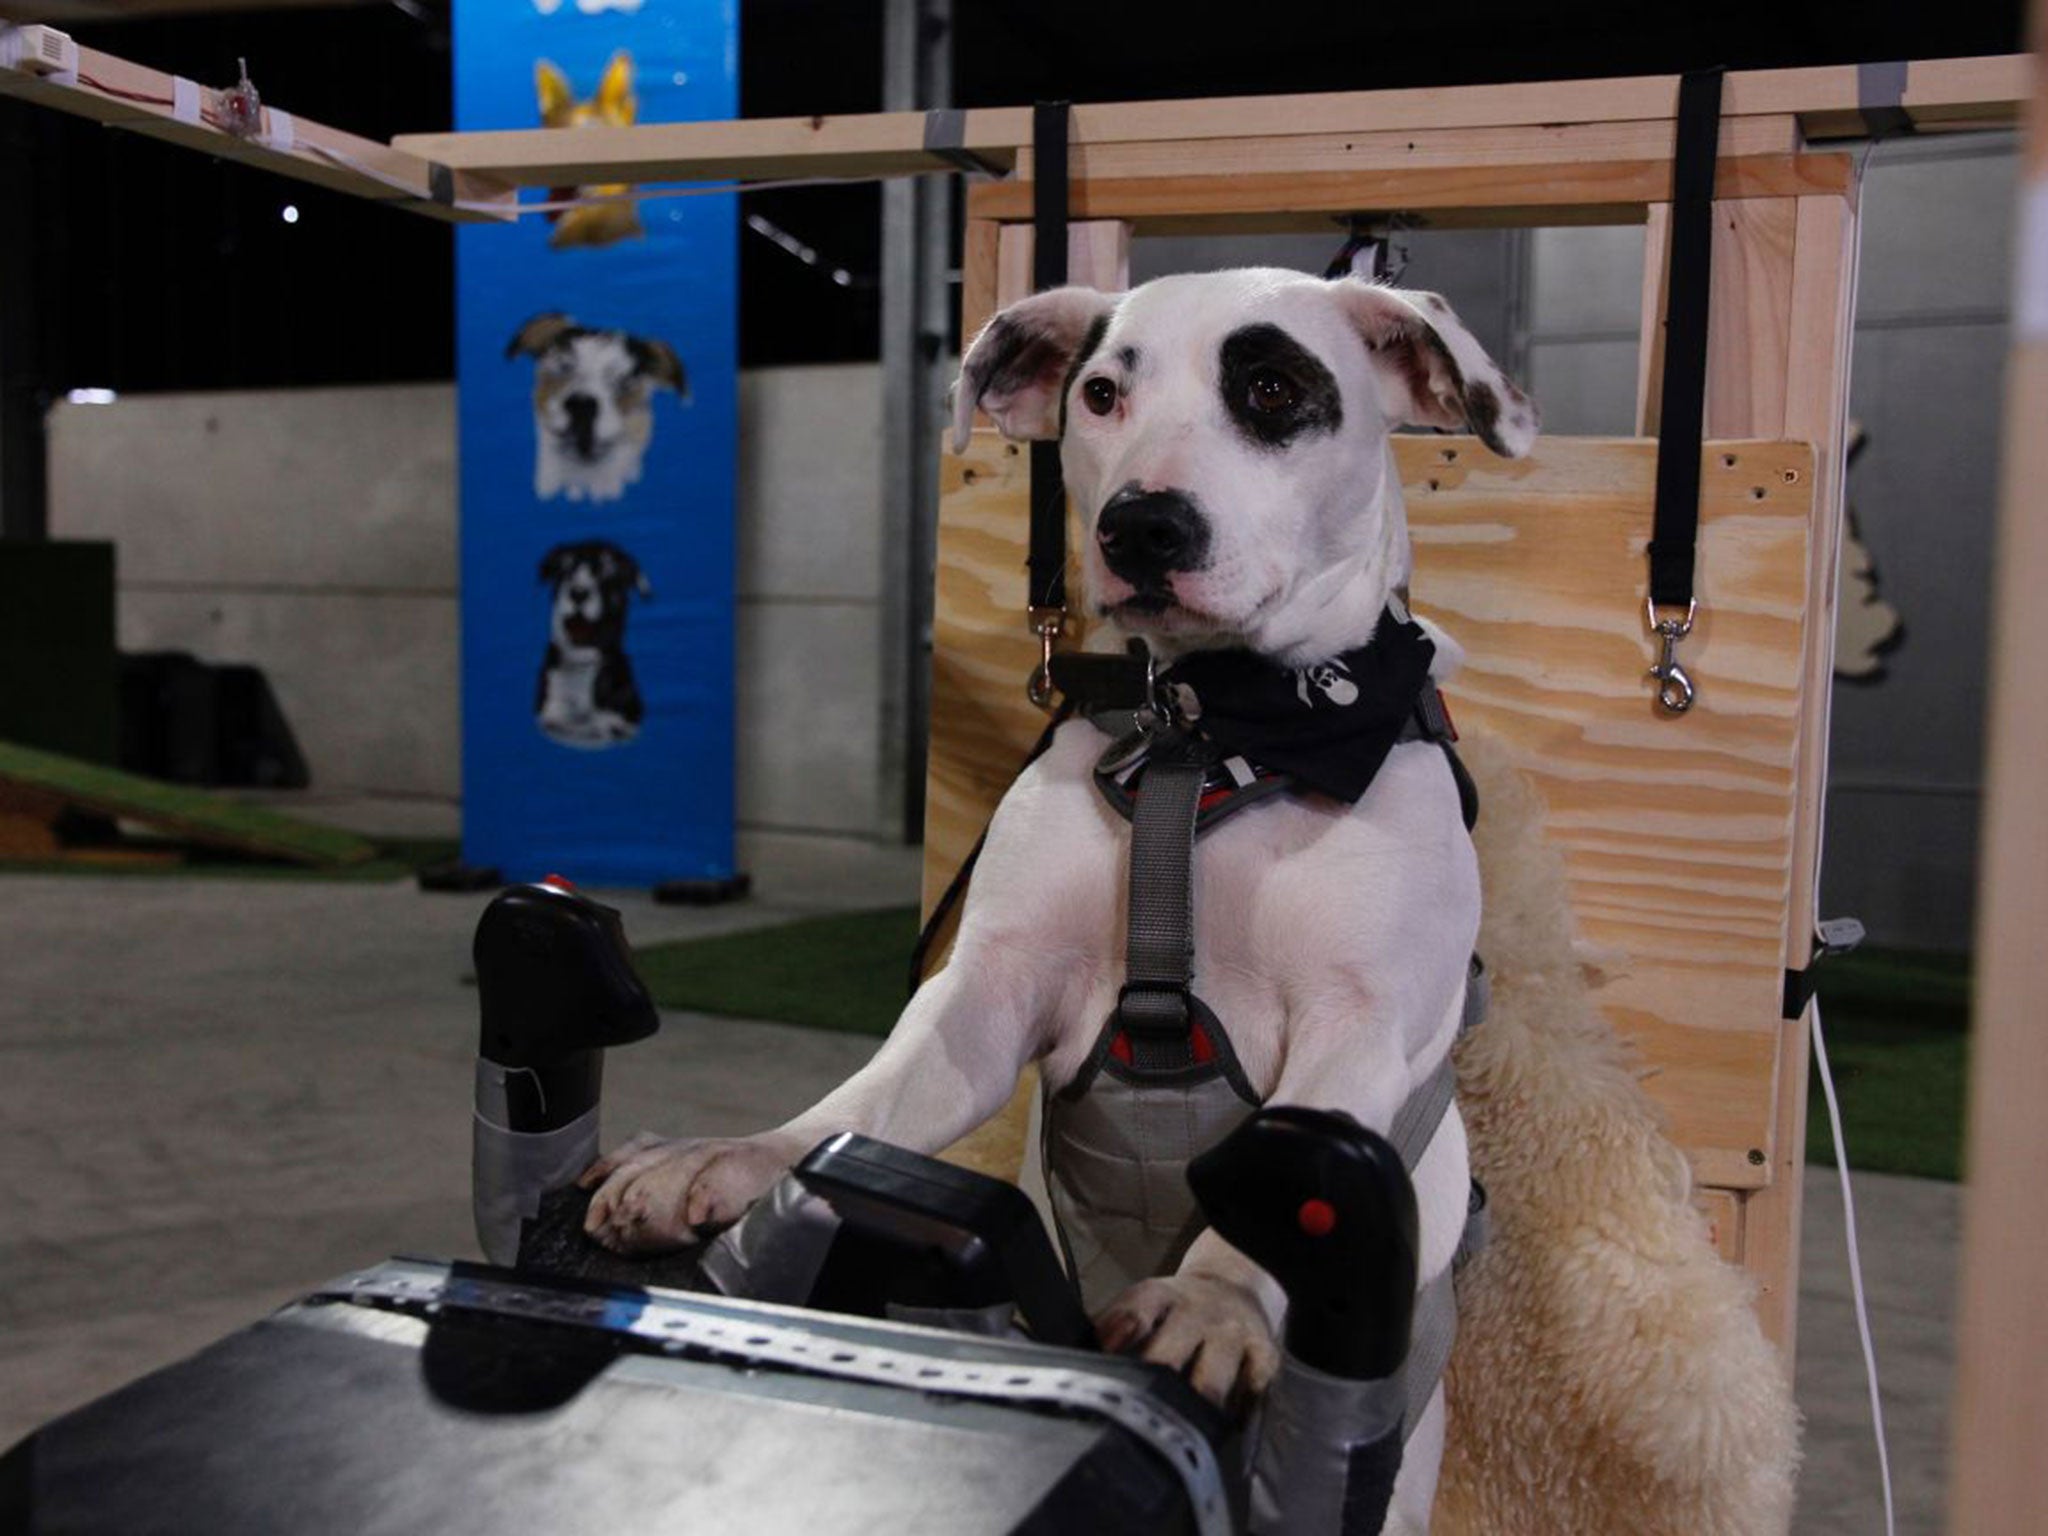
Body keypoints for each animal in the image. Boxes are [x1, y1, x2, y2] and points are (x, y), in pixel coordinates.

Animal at [585, 270, 1531, 1531]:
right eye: (1100, 394)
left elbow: (1284, 1172)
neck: (1208, 735)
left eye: (1273, 390)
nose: (1141, 526)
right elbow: (864, 1100)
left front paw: (1213, 1302)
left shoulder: (1365, 1028)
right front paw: (733, 1158)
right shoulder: (986, 995)